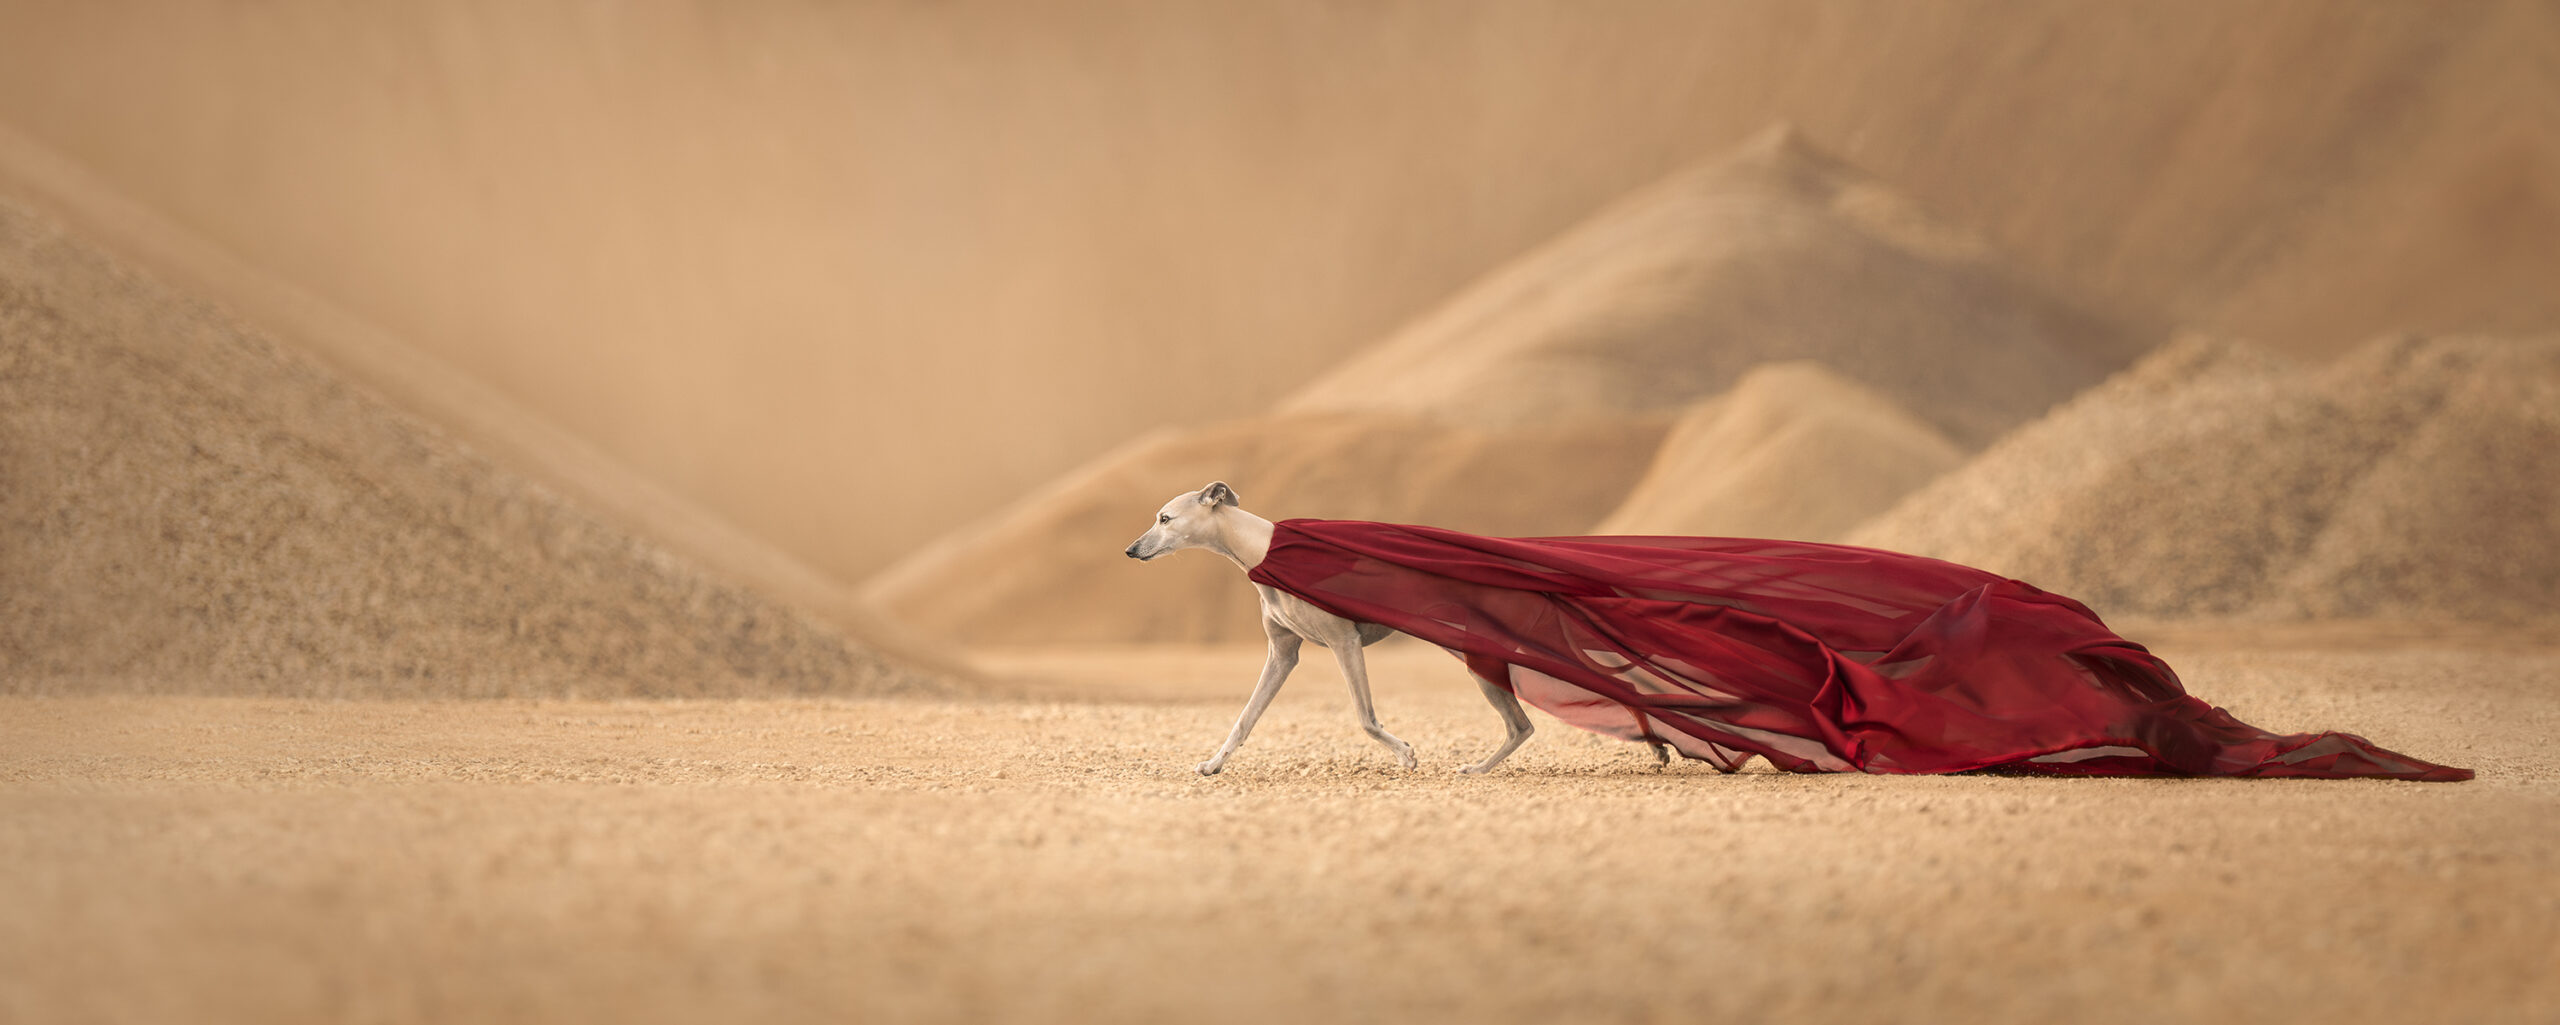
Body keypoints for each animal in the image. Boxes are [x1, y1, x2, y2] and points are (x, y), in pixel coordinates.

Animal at [1126, 481, 1536, 779]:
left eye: (1165, 518)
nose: (1130, 550)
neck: (1263, 550)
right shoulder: (1282, 654)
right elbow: (1245, 717)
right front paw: (1213, 764)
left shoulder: (1344, 641)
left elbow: (1365, 717)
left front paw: (1405, 754)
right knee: (1522, 725)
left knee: (1521, 724)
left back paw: (1478, 768)